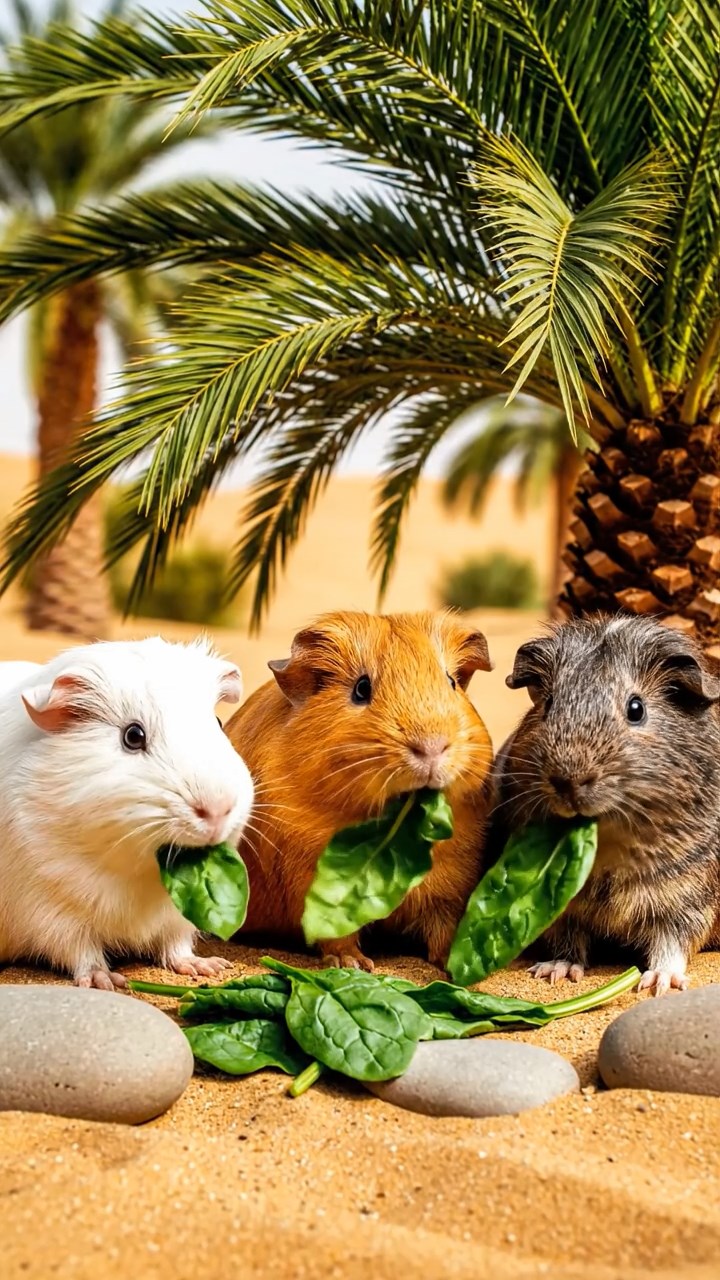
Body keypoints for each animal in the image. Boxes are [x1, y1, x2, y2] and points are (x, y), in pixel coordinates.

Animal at [0, 637, 253, 989]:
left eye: (217, 724)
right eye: (133, 736)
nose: (217, 810)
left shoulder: (176, 918)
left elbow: (176, 946)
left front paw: (209, 967)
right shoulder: (48, 910)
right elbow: (80, 951)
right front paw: (106, 982)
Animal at [224, 610, 494, 972]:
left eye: (451, 683)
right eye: (361, 689)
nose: (432, 747)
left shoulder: (451, 887)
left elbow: (445, 928)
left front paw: (456, 962)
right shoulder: (314, 888)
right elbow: (337, 936)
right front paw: (353, 964)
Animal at [491, 614, 720, 996]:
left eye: (636, 709)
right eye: (548, 704)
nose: (569, 781)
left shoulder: (688, 896)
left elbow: (672, 943)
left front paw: (657, 985)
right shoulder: (560, 909)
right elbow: (567, 942)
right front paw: (554, 972)